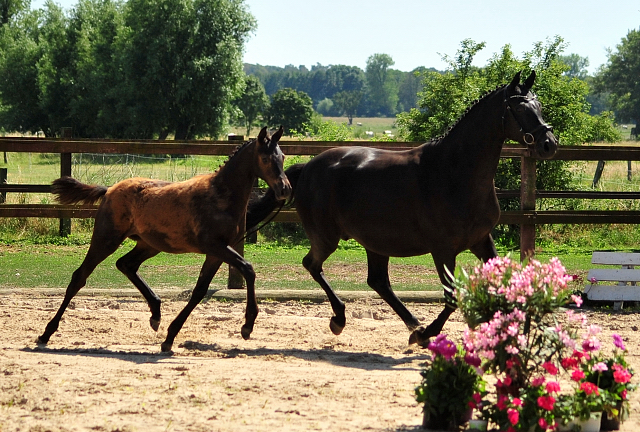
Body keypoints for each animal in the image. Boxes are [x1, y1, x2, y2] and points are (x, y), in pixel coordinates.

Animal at [36, 125, 292, 352]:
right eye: (266, 159)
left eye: (283, 156)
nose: (285, 190)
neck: (220, 194)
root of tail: (109, 190)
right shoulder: (215, 246)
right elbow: (248, 269)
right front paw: (247, 325)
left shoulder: (217, 251)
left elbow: (200, 290)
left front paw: (169, 337)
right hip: (106, 238)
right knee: (80, 276)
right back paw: (45, 334)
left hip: (149, 244)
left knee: (126, 264)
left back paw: (156, 313)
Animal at [248, 72, 556, 346]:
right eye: (519, 107)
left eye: (539, 105)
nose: (549, 144)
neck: (456, 172)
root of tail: (308, 167)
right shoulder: (443, 250)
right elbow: (451, 297)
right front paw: (429, 333)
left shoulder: (481, 240)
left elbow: (506, 285)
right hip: (327, 237)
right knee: (313, 265)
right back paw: (344, 319)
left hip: (375, 241)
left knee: (378, 281)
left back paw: (412, 324)